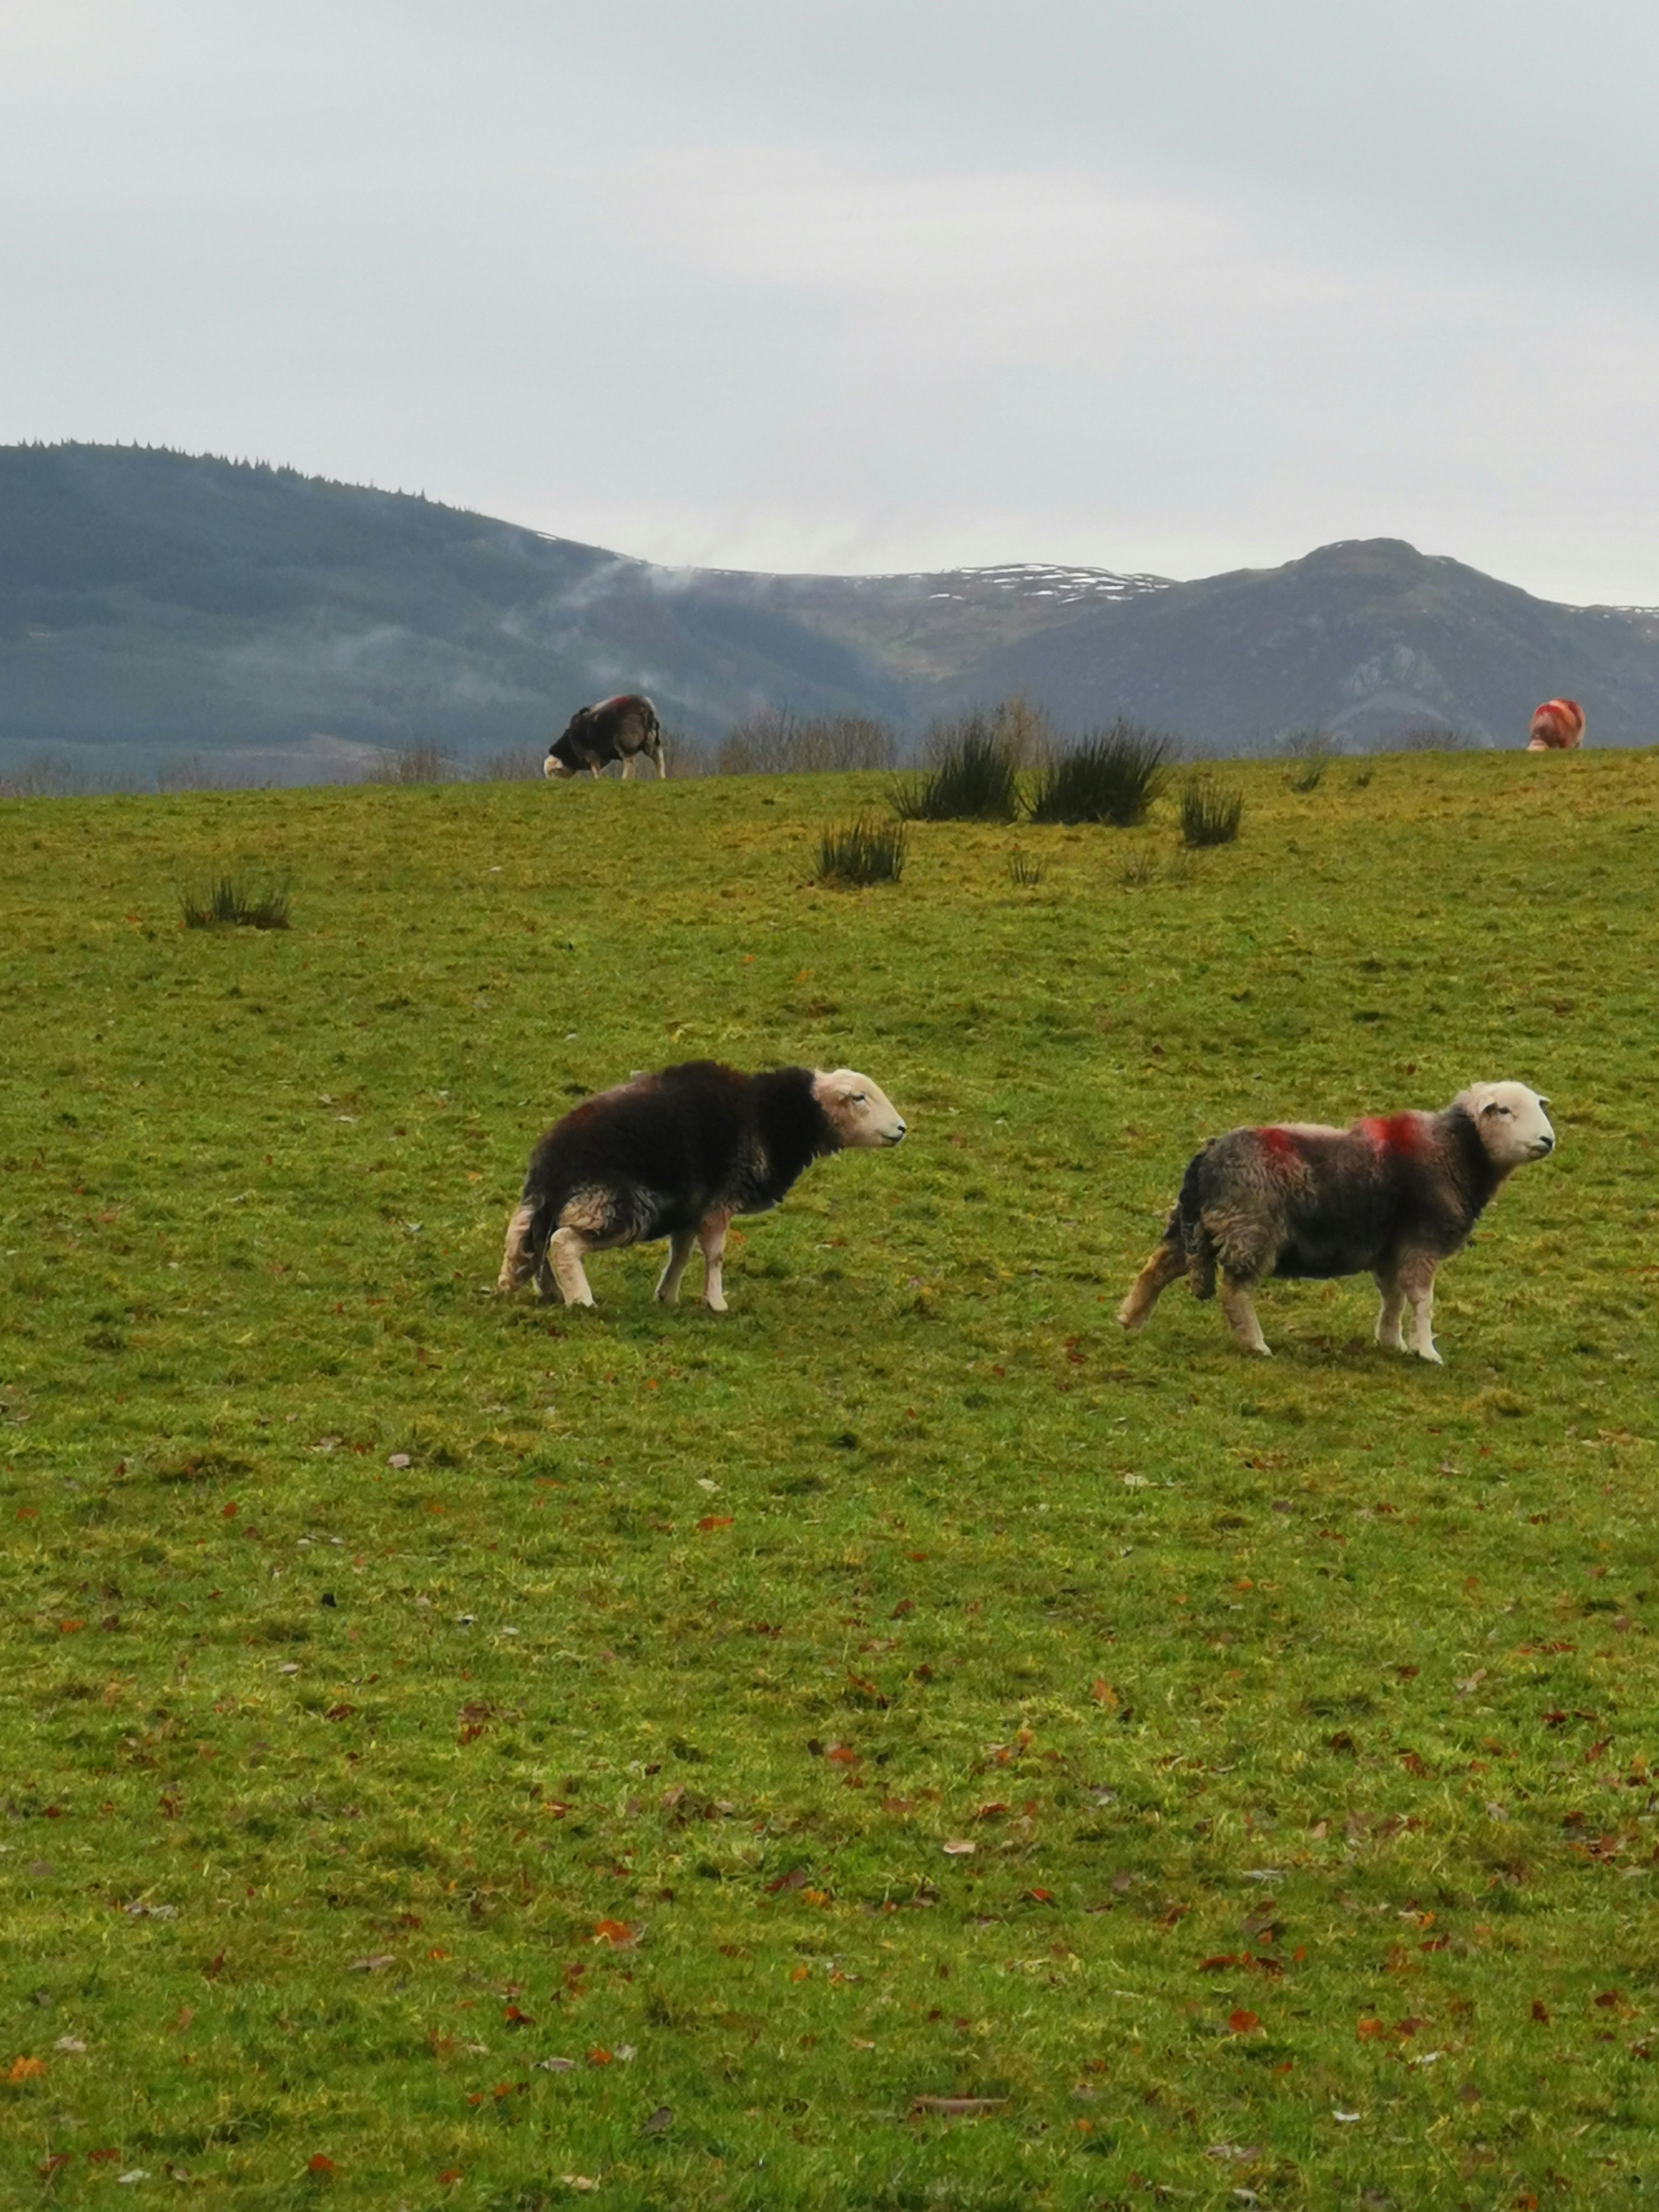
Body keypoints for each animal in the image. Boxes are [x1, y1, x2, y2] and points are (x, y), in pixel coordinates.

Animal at [553, 703, 668, 791]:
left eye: (555, 771)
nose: (556, 782)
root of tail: (646, 712)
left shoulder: (591, 754)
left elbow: (595, 769)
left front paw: (598, 781)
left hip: (627, 743)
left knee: (630, 763)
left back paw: (624, 779)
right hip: (650, 741)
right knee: (658, 757)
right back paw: (661, 777)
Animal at [1119, 1079, 1557, 1353]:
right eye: (1504, 1110)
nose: (1547, 1140)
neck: (1457, 1151)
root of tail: (1207, 1156)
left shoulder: (1392, 1248)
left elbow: (1394, 1298)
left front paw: (1392, 1342)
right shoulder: (1421, 1241)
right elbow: (1422, 1300)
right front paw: (1427, 1350)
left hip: (1198, 1224)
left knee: (1157, 1267)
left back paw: (1130, 1320)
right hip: (1252, 1228)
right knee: (1235, 1291)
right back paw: (1255, 1344)